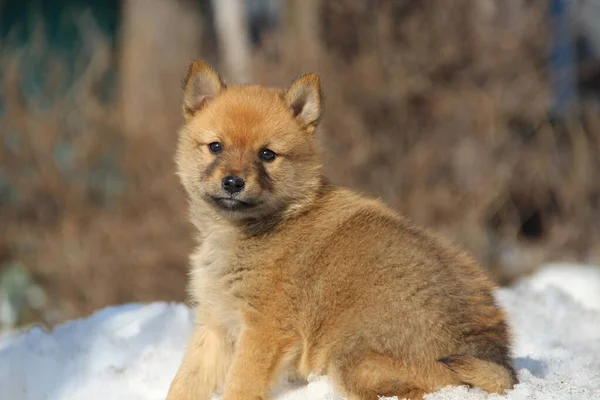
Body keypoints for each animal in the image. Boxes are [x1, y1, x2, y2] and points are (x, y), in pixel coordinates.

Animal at [165, 60, 516, 400]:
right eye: (215, 147)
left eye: (267, 154)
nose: (233, 182)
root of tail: (497, 361)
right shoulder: (214, 325)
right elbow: (185, 383)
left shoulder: (264, 328)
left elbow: (240, 385)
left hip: (350, 361)